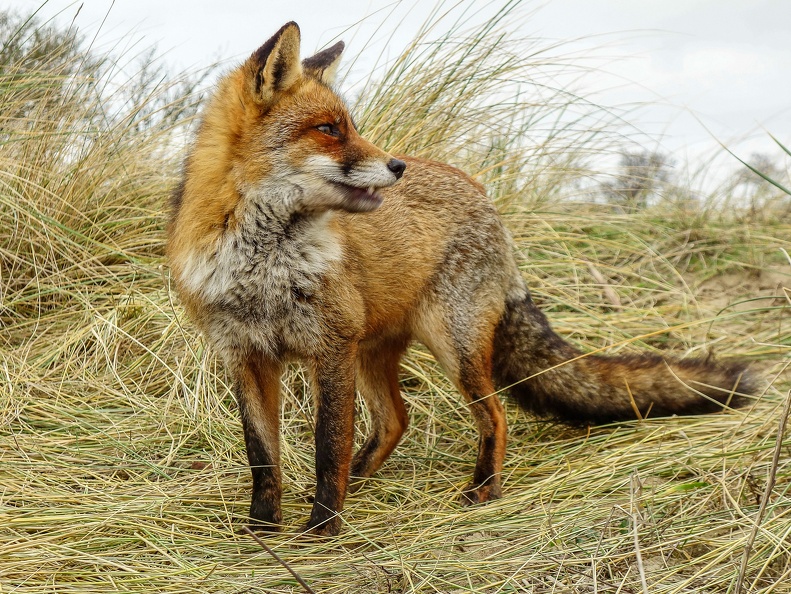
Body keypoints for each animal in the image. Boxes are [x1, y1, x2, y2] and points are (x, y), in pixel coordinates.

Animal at [166, 22, 756, 536]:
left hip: (453, 345)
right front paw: (262, 531)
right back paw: (365, 480)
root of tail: (483, 195)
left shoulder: (330, 347)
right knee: (395, 419)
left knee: (494, 415)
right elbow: (264, 459)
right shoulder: (246, 356)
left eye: (350, 125)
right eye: (329, 130)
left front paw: (322, 529)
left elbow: (327, 446)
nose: (396, 166)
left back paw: (482, 490)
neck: (264, 267)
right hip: (375, 352)